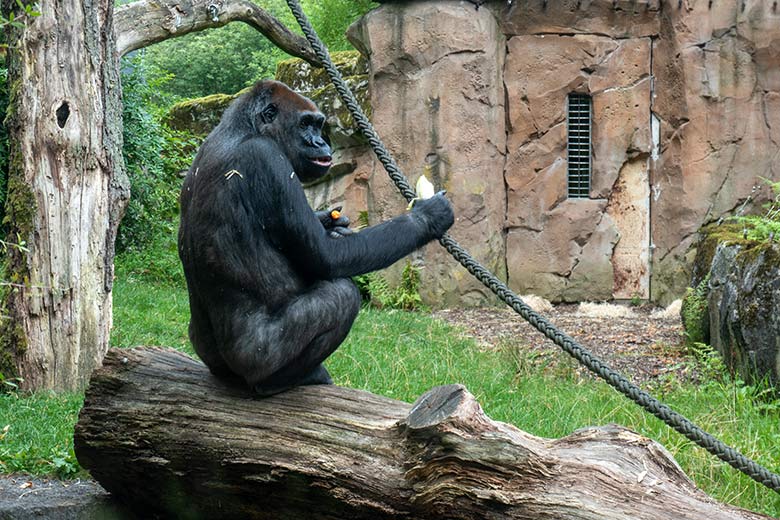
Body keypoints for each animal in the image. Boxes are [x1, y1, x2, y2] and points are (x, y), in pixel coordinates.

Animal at [177, 79, 458, 396]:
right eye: (305, 124)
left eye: (319, 125)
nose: (321, 143)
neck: (244, 128)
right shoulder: (268, 160)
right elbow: (326, 257)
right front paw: (428, 216)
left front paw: (330, 220)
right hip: (257, 360)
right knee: (342, 294)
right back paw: (285, 380)